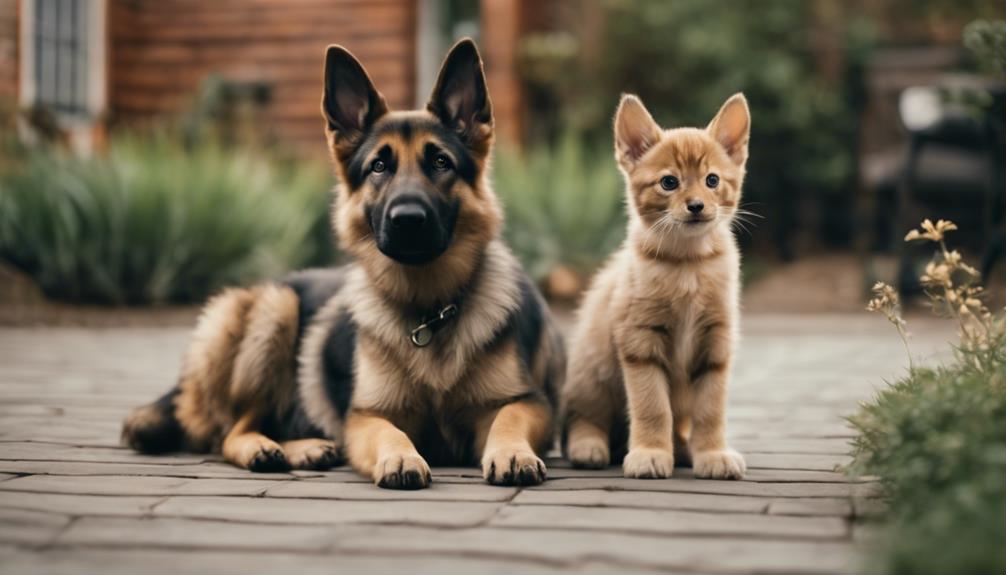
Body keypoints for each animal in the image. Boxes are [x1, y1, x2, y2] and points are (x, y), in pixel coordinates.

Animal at [120, 40, 563, 490]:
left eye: (441, 163)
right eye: (379, 166)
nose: (407, 220)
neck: (429, 311)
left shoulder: (528, 402)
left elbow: (508, 419)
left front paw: (511, 451)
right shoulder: (366, 416)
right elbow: (388, 431)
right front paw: (401, 457)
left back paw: (306, 447)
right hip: (276, 307)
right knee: (231, 432)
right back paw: (271, 448)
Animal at [563, 94, 752, 478]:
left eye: (712, 180)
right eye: (669, 183)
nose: (696, 206)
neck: (688, 264)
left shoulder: (717, 343)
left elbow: (710, 409)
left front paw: (712, 452)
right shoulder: (639, 341)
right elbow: (652, 405)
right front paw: (650, 452)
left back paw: (682, 448)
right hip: (593, 372)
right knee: (583, 415)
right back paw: (588, 445)